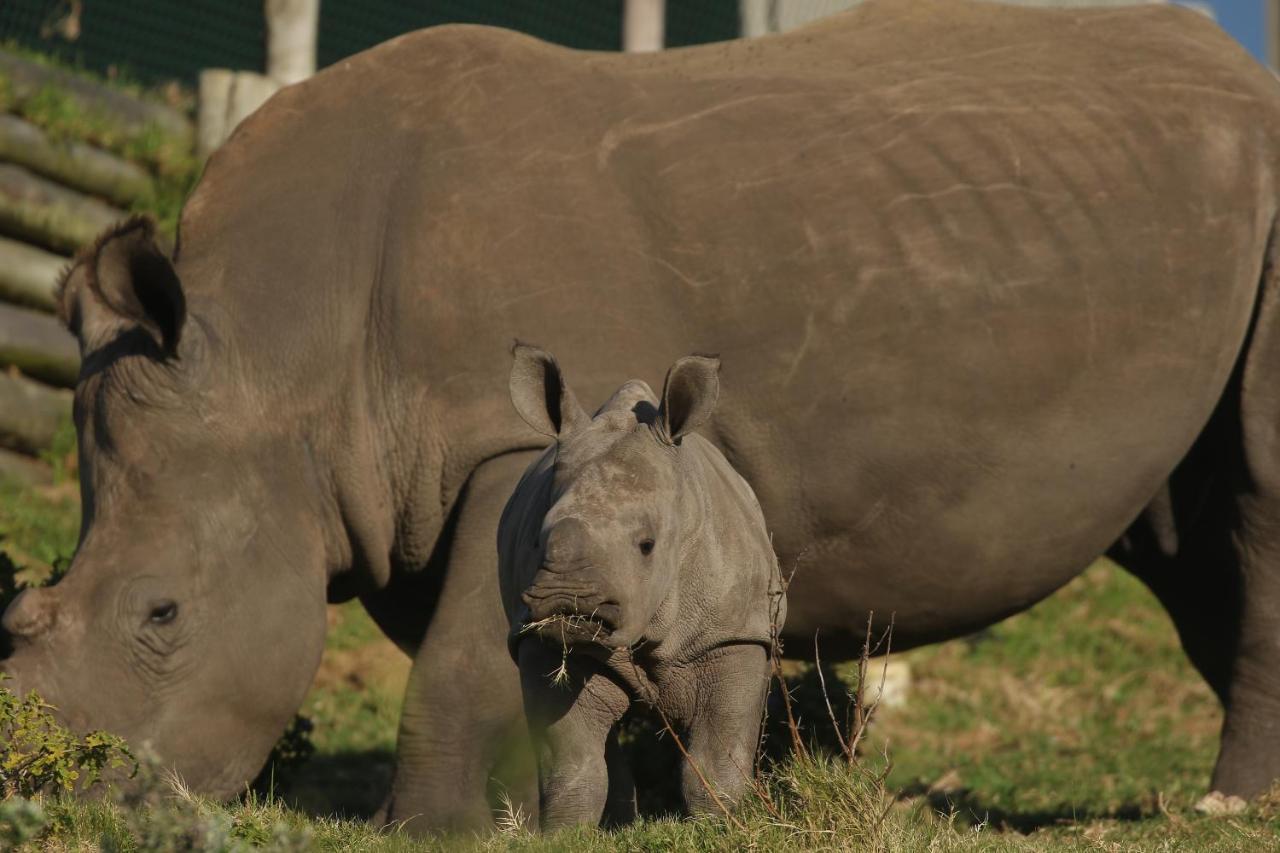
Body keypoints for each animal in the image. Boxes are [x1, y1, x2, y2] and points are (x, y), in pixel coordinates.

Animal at [496, 343, 778, 824]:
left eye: (647, 546)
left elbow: (716, 762)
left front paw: (722, 826)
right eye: (536, 541)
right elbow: (573, 768)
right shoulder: (542, 641)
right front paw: (568, 833)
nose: (565, 601)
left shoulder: (731, 634)